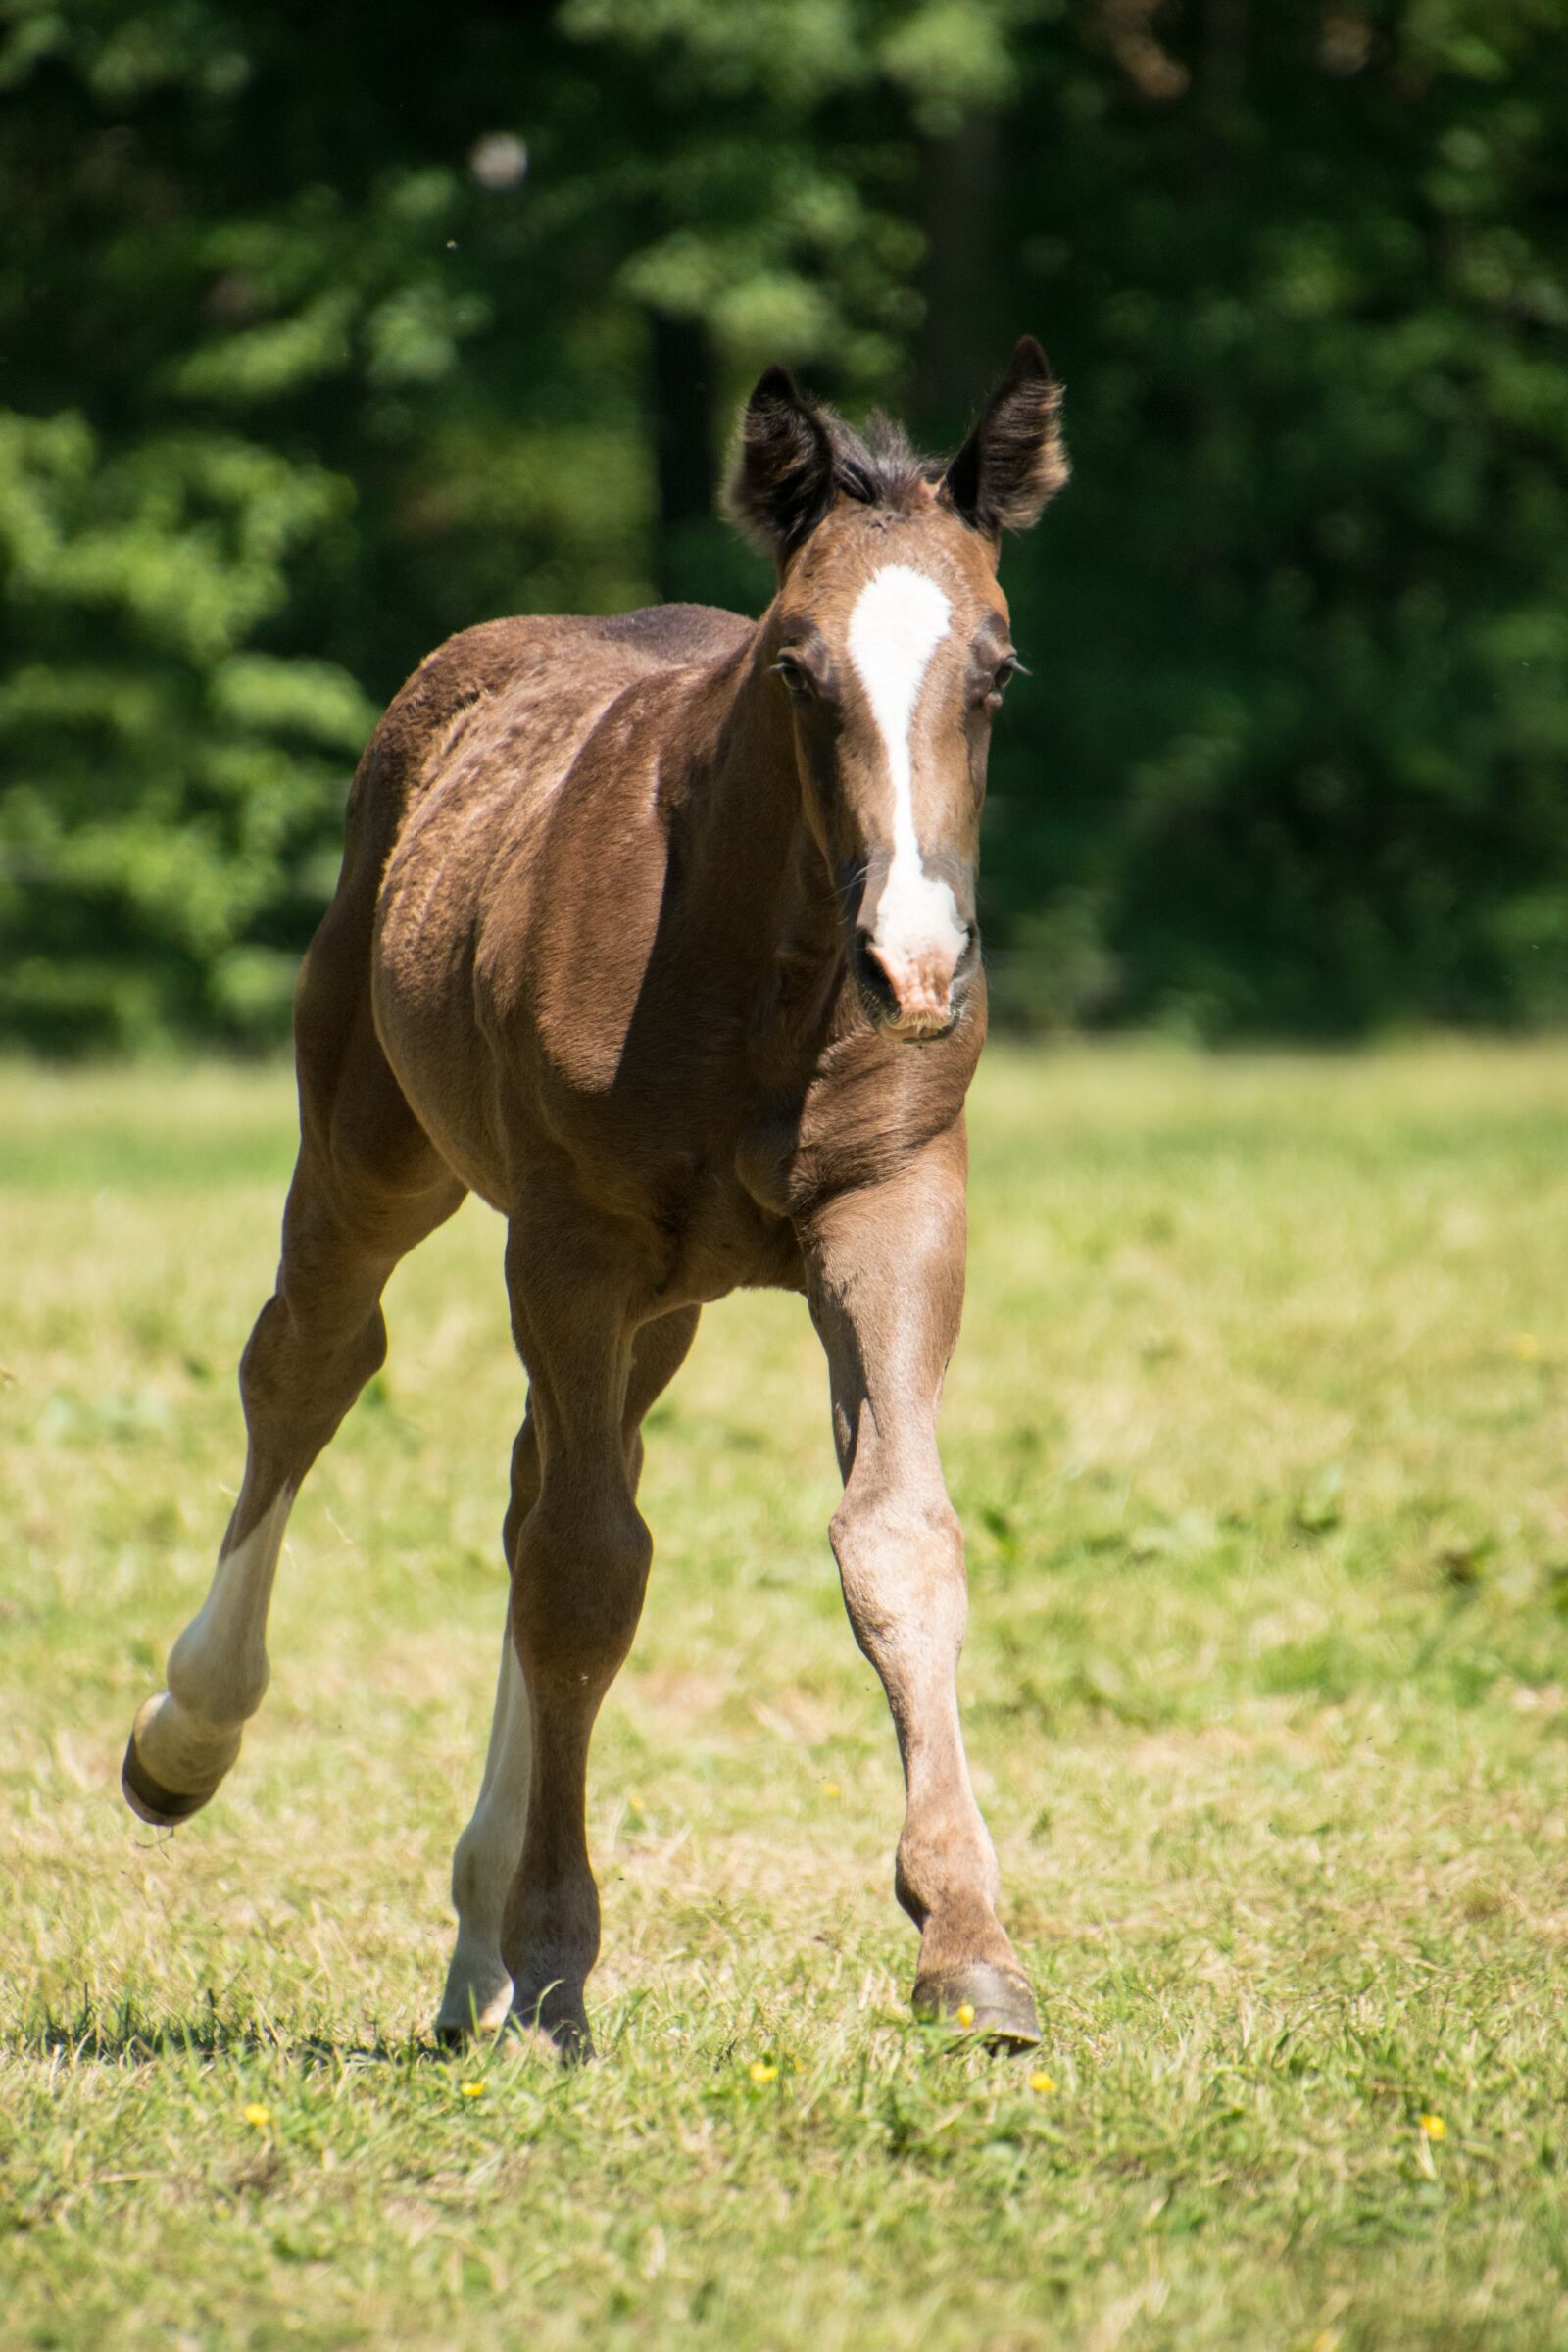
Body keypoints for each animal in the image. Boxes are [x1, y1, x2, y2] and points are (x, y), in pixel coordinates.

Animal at [121, 338, 1070, 2058]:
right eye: (796, 670)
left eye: (998, 670)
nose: (914, 967)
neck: (764, 973)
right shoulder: (572, 1243)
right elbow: (583, 1574)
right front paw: (562, 1958)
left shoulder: (894, 1213)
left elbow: (895, 1540)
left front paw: (970, 1950)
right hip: (375, 1150)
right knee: (310, 1367)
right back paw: (190, 1741)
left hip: (671, 1302)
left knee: (531, 1475)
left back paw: (470, 1951)